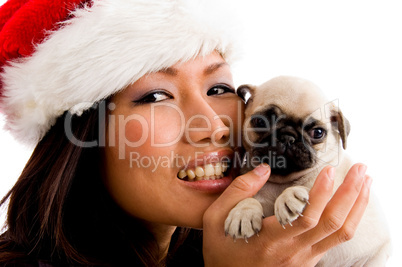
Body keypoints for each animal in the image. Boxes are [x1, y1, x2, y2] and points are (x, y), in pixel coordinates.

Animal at [226, 76, 392, 267]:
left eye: (318, 132)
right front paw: (242, 212)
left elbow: (311, 185)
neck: (280, 182)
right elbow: (251, 197)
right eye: (260, 122)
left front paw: (289, 197)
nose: (287, 137)